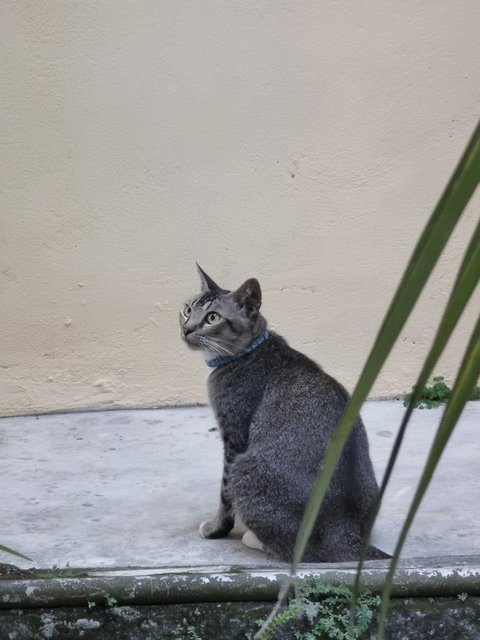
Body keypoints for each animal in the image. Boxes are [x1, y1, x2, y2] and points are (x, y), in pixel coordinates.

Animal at [179, 264, 386, 560]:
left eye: (212, 317)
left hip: (246, 468)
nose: (186, 329)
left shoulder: (234, 436)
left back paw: (254, 538)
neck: (247, 352)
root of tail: (343, 531)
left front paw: (216, 529)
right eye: (187, 310)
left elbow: (224, 496)